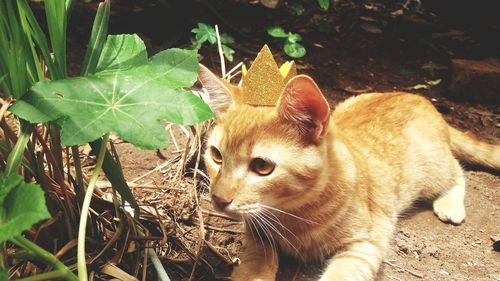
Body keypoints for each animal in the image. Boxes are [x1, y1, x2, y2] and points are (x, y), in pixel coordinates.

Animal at [197, 64, 498, 280]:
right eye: (216, 156)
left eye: (262, 166)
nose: (219, 199)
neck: (295, 215)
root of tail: (418, 96)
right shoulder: (256, 231)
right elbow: (257, 258)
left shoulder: (365, 245)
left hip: (434, 168)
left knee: (458, 171)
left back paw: (450, 204)